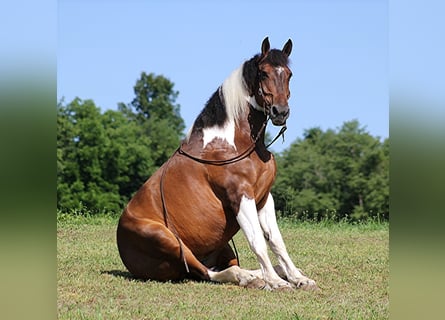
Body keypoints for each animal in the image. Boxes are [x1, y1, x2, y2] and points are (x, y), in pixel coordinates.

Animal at [114, 37, 316, 290]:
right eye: (263, 73)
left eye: (289, 74)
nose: (280, 112)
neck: (233, 143)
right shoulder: (240, 195)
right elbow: (257, 240)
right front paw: (276, 282)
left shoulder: (263, 198)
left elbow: (276, 241)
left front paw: (298, 278)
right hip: (168, 240)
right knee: (207, 272)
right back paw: (251, 278)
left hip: (220, 245)